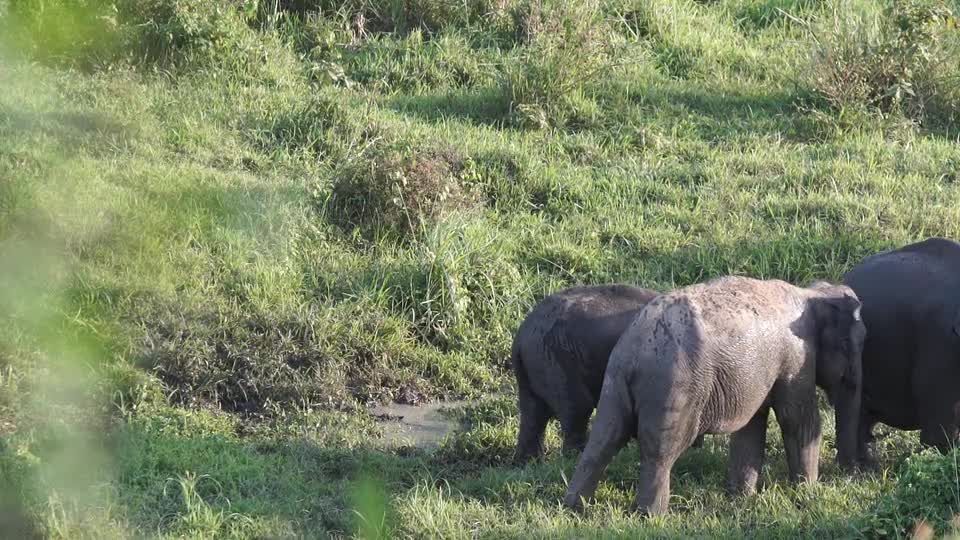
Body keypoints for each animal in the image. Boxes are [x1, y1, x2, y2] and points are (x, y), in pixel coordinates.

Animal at [512, 284, 700, 462]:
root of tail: (520, 337)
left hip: (535, 365)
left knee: (533, 414)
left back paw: (528, 462)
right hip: (556, 360)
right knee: (576, 407)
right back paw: (573, 458)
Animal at [560, 276, 868, 516]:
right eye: (847, 344)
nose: (850, 473)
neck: (809, 294)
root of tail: (635, 350)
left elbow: (751, 427)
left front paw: (742, 498)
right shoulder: (796, 361)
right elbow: (799, 421)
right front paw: (806, 493)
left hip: (615, 382)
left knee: (603, 439)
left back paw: (575, 507)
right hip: (675, 389)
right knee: (661, 451)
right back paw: (652, 516)